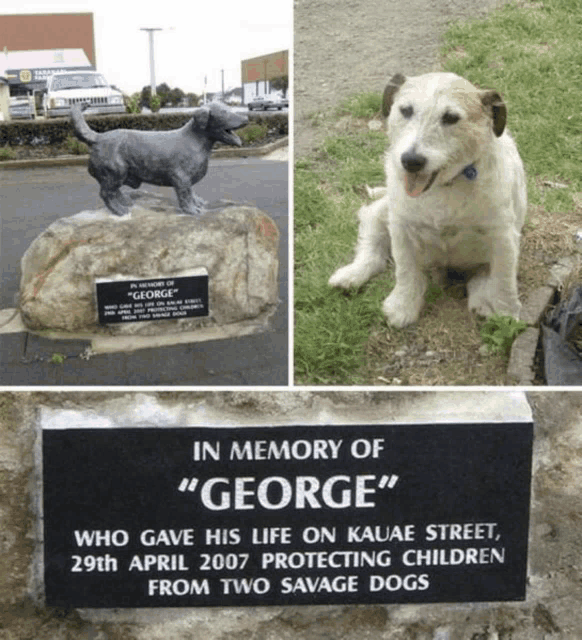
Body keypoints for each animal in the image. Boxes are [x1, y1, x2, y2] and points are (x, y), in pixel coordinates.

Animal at [328, 72, 528, 328]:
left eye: (451, 117)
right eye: (406, 110)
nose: (410, 161)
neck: (445, 187)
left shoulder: (503, 237)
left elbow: (504, 280)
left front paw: (506, 315)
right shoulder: (401, 229)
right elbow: (405, 270)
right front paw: (403, 306)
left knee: (483, 278)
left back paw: (483, 302)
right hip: (382, 213)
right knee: (374, 247)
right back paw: (352, 274)